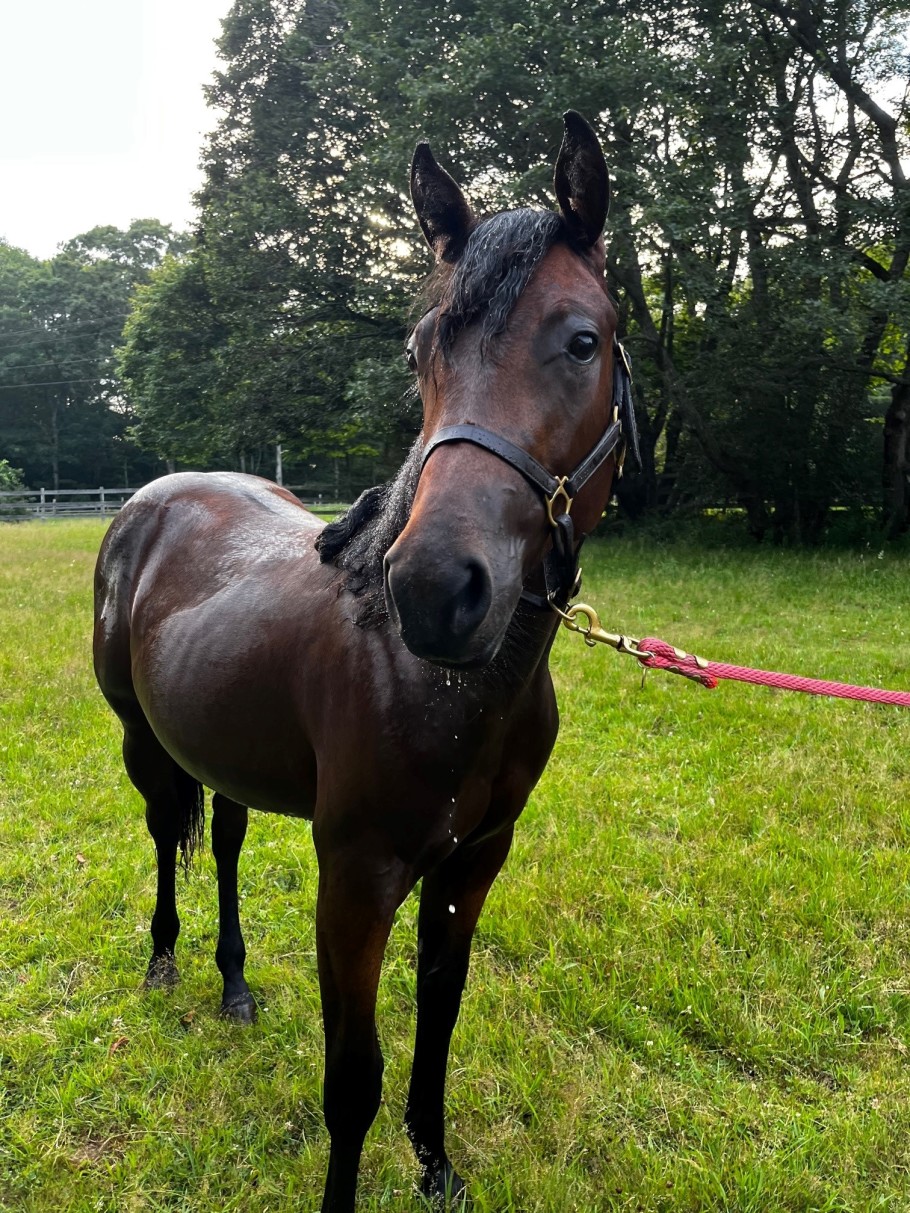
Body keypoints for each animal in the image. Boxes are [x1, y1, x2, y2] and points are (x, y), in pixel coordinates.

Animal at [91, 109, 635, 1208]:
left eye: (583, 339)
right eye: (423, 349)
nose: (434, 587)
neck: (451, 688)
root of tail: (150, 500)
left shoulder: (472, 862)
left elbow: (438, 1023)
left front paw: (436, 1165)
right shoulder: (355, 878)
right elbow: (354, 1079)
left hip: (231, 757)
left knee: (221, 845)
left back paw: (234, 983)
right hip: (143, 743)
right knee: (165, 836)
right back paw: (166, 966)